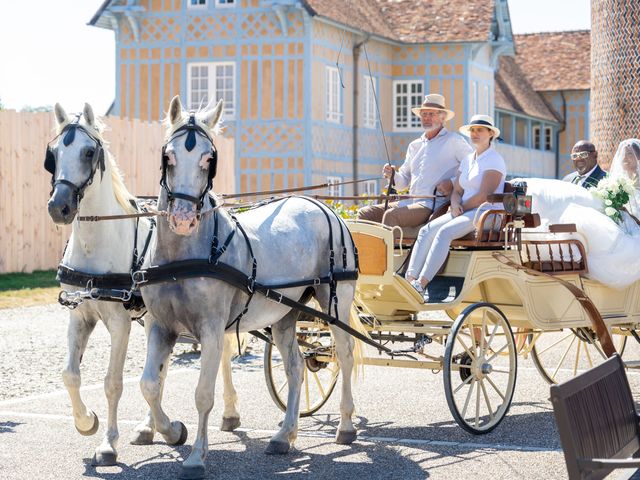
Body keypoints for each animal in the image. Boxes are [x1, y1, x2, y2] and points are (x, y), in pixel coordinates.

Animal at [45, 103, 244, 466]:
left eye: (88, 151)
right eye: (53, 154)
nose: (59, 207)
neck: (98, 243)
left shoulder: (119, 322)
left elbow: (112, 382)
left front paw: (108, 444)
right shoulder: (79, 315)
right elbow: (70, 375)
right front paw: (86, 421)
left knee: (221, 354)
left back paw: (228, 413)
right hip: (156, 317)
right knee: (159, 372)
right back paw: (150, 427)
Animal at [138, 94, 360, 480]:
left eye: (209, 159)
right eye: (168, 157)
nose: (182, 219)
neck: (184, 257)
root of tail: (324, 206)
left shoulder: (211, 330)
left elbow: (203, 393)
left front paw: (196, 458)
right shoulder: (161, 326)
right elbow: (150, 385)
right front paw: (172, 431)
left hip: (336, 302)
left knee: (344, 354)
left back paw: (345, 426)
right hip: (286, 314)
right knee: (296, 367)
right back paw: (284, 435)